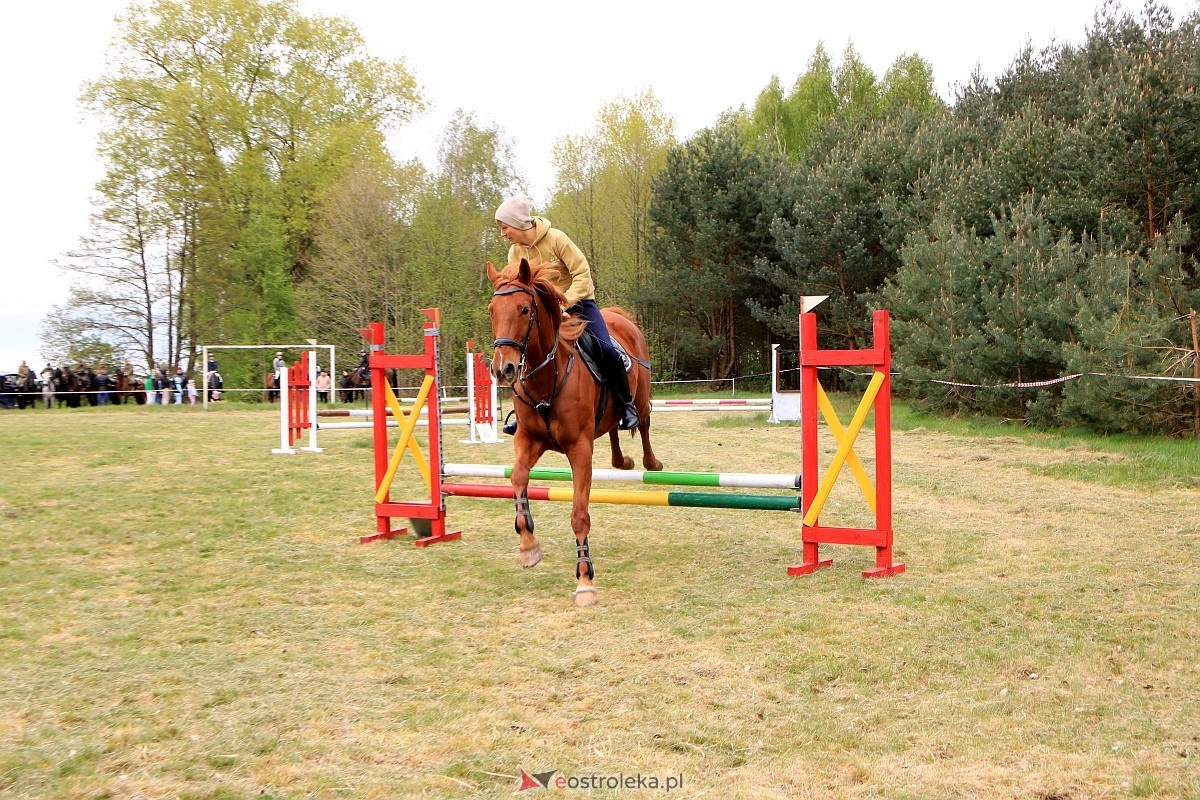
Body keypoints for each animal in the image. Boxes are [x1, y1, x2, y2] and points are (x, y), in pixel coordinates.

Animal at [484, 261, 662, 606]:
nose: (503, 369)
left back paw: (651, 463)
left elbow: (579, 514)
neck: (547, 377)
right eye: (492, 311)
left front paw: (585, 580)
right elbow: (517, 477)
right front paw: (528, 546)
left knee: (643, 422)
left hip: (640, 394)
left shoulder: (579, 449)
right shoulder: (529, 440)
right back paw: (624, 461)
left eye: (524, 309)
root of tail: (619, 315)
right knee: (614, 431)